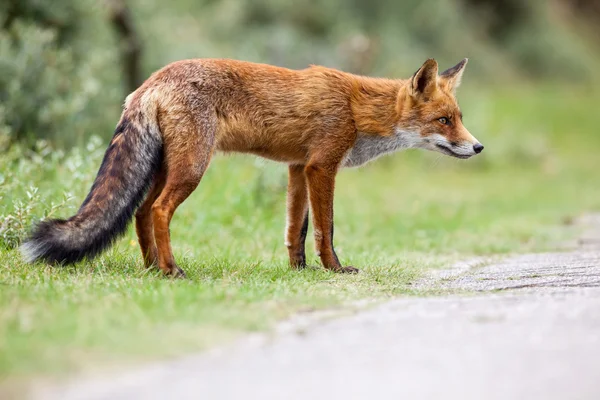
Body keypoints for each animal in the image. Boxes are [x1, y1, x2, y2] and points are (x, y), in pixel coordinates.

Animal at [21, 57, 482, 276]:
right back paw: (171, 270)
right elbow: (326, 229)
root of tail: (149, 83)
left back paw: (152, 268)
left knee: (140, 212)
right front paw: (334, 270)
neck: (357, 108)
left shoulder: (298, 168)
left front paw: (299, 271)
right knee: (159, 210)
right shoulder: (321, 166)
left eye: (458, 117)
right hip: (192, 168)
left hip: (166, 167)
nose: (478, 147)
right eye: (445, 121)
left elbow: (296, 229)